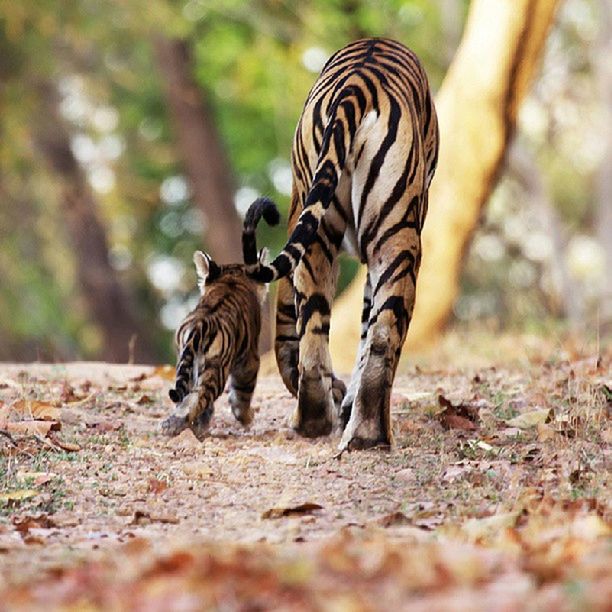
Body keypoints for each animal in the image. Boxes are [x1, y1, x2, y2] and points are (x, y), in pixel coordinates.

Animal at [246, 38, 438, 450]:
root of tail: (358, 81)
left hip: (332, 236)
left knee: (326, 330)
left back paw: (337, 424)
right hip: (395, 236)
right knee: (372, 334)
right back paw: (355, 429)